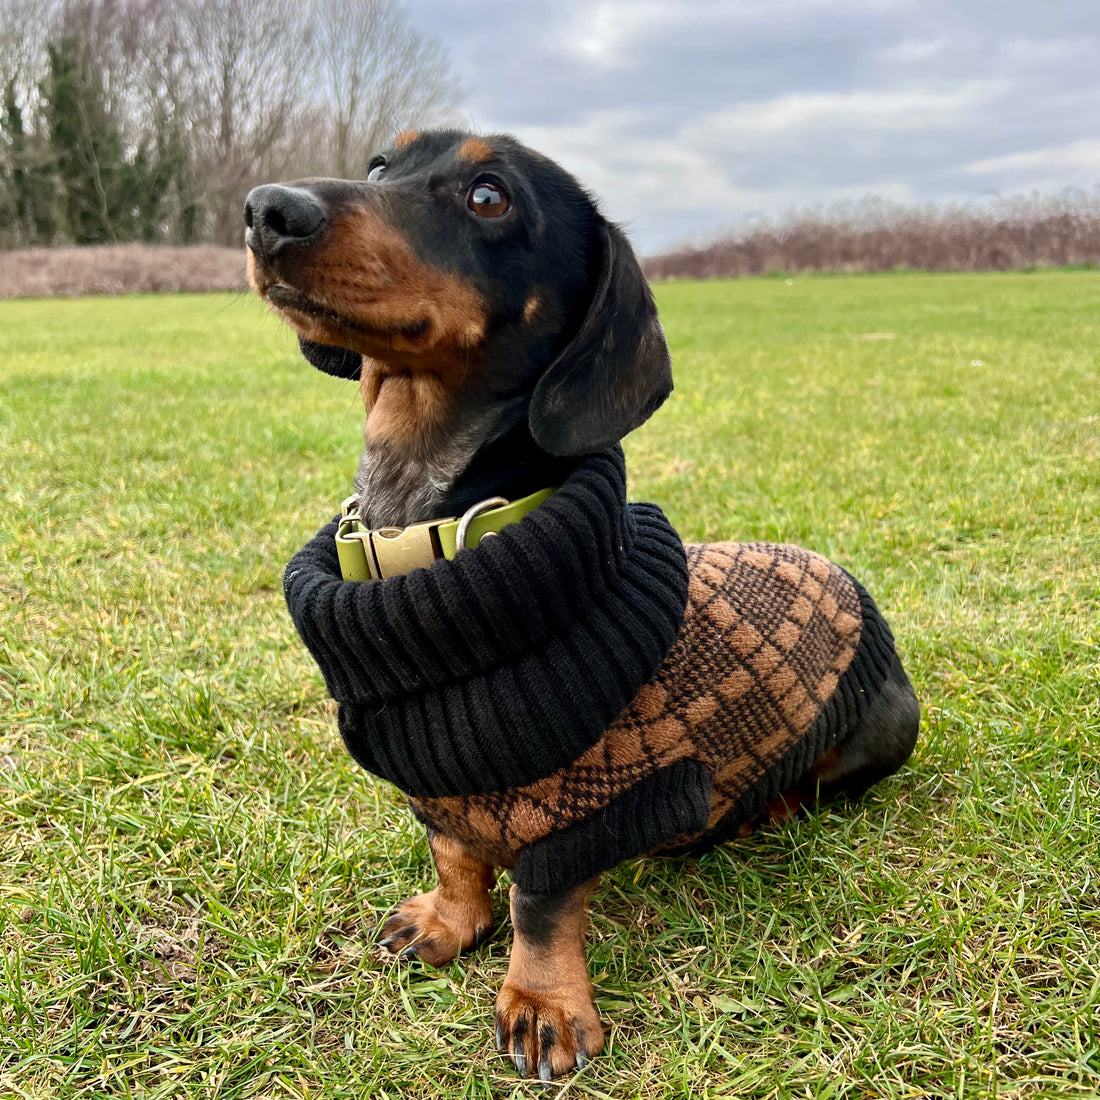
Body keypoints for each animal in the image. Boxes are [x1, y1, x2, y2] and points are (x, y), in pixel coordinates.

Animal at [243, 130, 919, 1082]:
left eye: (490, 197)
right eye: (380, 166)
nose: (267, 209)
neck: (432, 532)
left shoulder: (573, 810)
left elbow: (540, 905)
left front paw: (543, 1003)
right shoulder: (441, 788)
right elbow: (454, 853)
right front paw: (448, 922)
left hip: (881, 733)